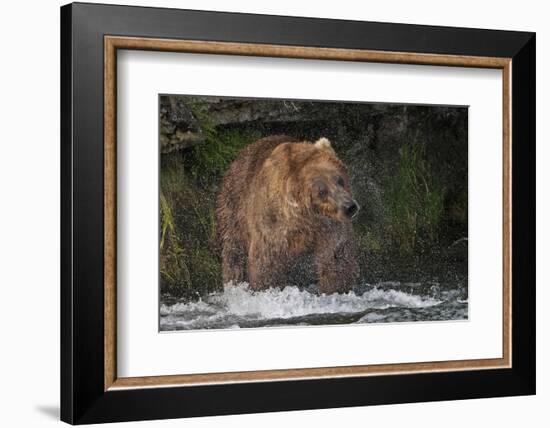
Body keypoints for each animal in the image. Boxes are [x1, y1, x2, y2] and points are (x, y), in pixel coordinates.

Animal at [216, 135, 362, 292]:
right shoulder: (273, 226)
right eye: (322, 191)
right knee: (234, 250)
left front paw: (334, 287)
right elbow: (266, 263)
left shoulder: (328, 228)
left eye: (339, 180)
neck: (305, 220)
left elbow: (335, 257)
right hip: (235, 204)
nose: (349, 206)